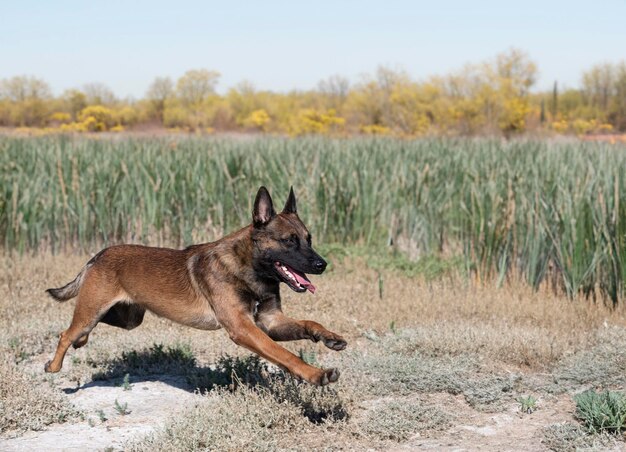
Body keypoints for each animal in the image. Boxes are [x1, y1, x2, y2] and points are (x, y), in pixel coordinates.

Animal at [45, 186, 346, 384]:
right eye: (289, 241)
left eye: (309, 239)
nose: (322, 264)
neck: (248, 267)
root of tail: (99, 255)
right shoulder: (244, 329)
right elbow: (284, 355)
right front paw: (316, 374)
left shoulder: (270, 321)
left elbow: (309, 323)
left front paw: (329, 336)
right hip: (93, 310)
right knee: (66, 333)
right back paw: (54, 365)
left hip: (129, 318)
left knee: (82, 329)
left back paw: (81, 342)